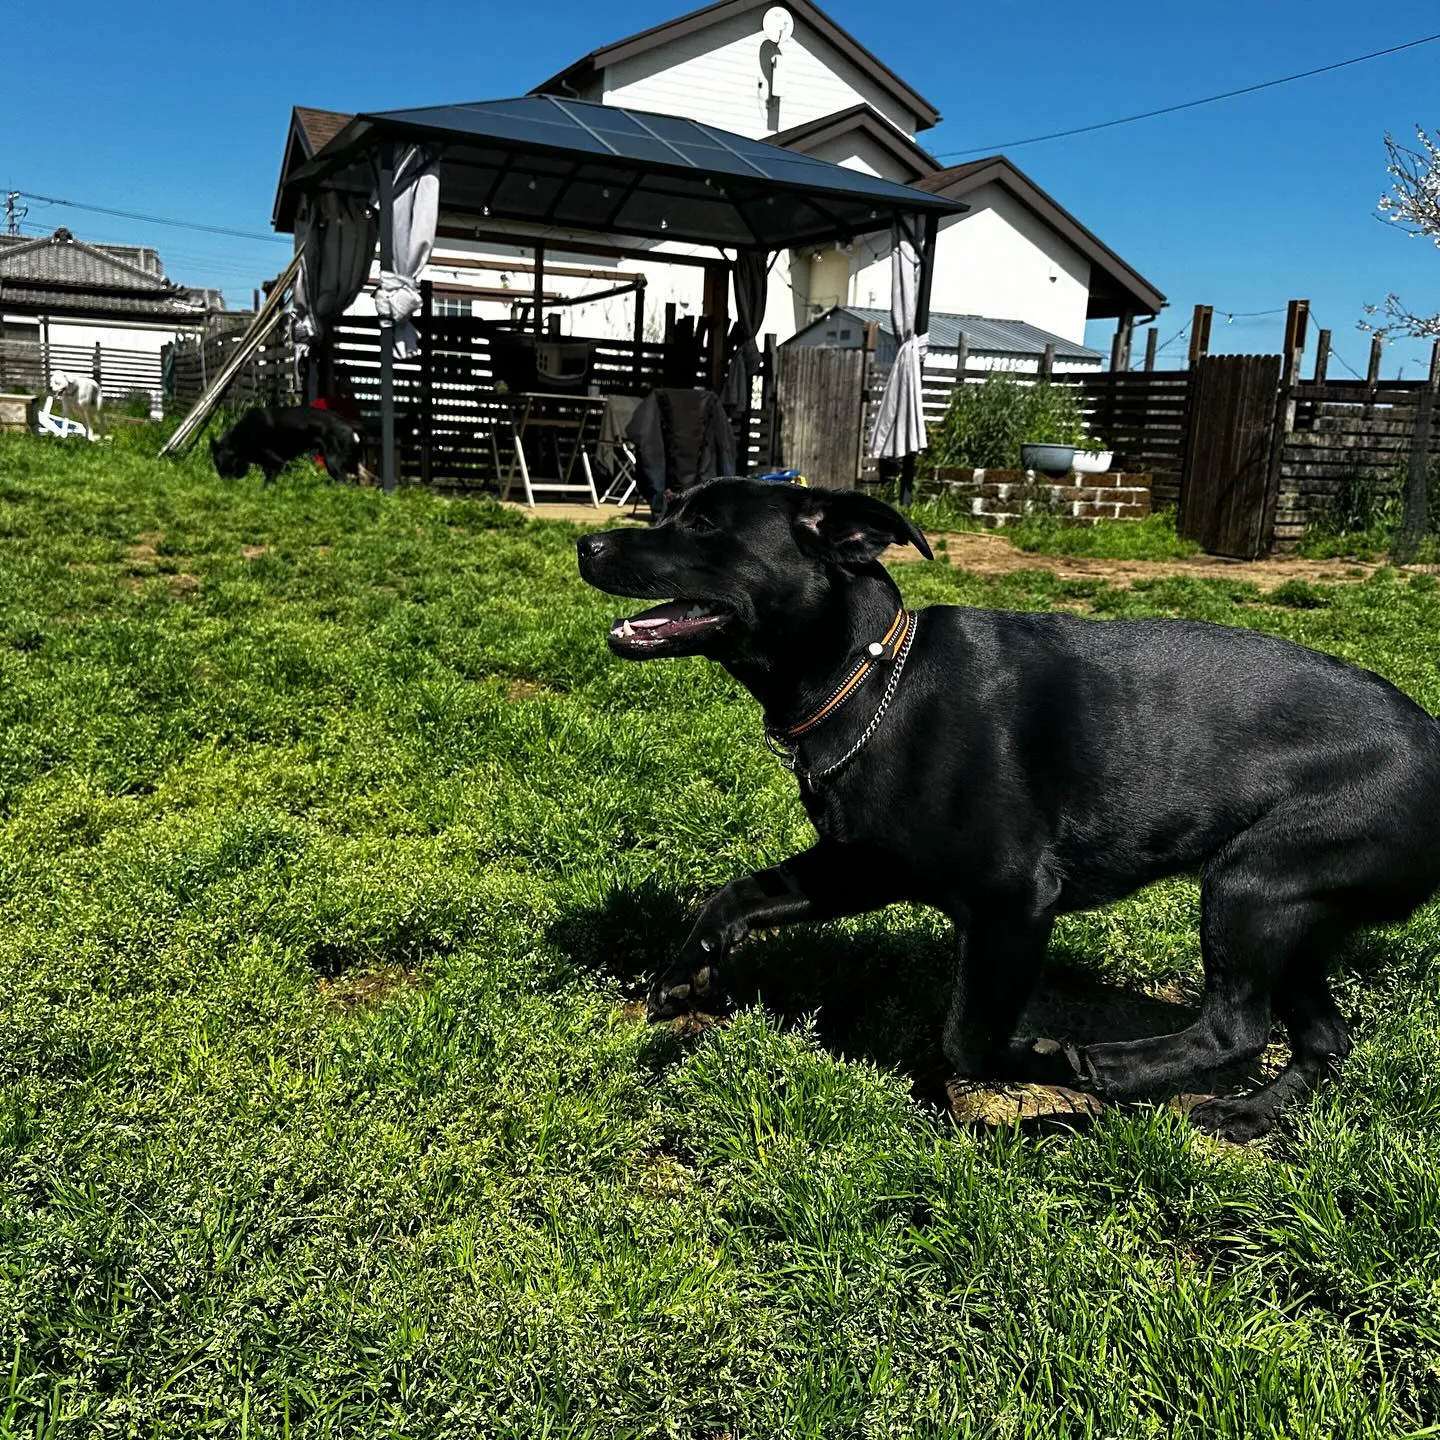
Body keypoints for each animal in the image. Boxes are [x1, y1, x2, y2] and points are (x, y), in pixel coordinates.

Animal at [210, 406, 362, 489]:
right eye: (218, 467)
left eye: (232, 465)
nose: (227, 488)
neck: (241, 436)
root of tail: (348, 424)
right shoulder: (267, 466)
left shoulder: (276, 463)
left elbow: (266, 485)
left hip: (332, 462)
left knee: (343, 482)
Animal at [576, 480, 1440, 1134]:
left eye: (702, 523)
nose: (586, 545)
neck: (873, 683)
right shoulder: (860, 867)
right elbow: (737, 893)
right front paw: (684, 973)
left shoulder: (1012, 905)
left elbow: (969, 1038)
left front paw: (1046, 1061)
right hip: (1297, 918)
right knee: (1323, 1038)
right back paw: (1249, 1114)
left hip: (1251, 885)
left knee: (1238, 1026)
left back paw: (1112, 1069)